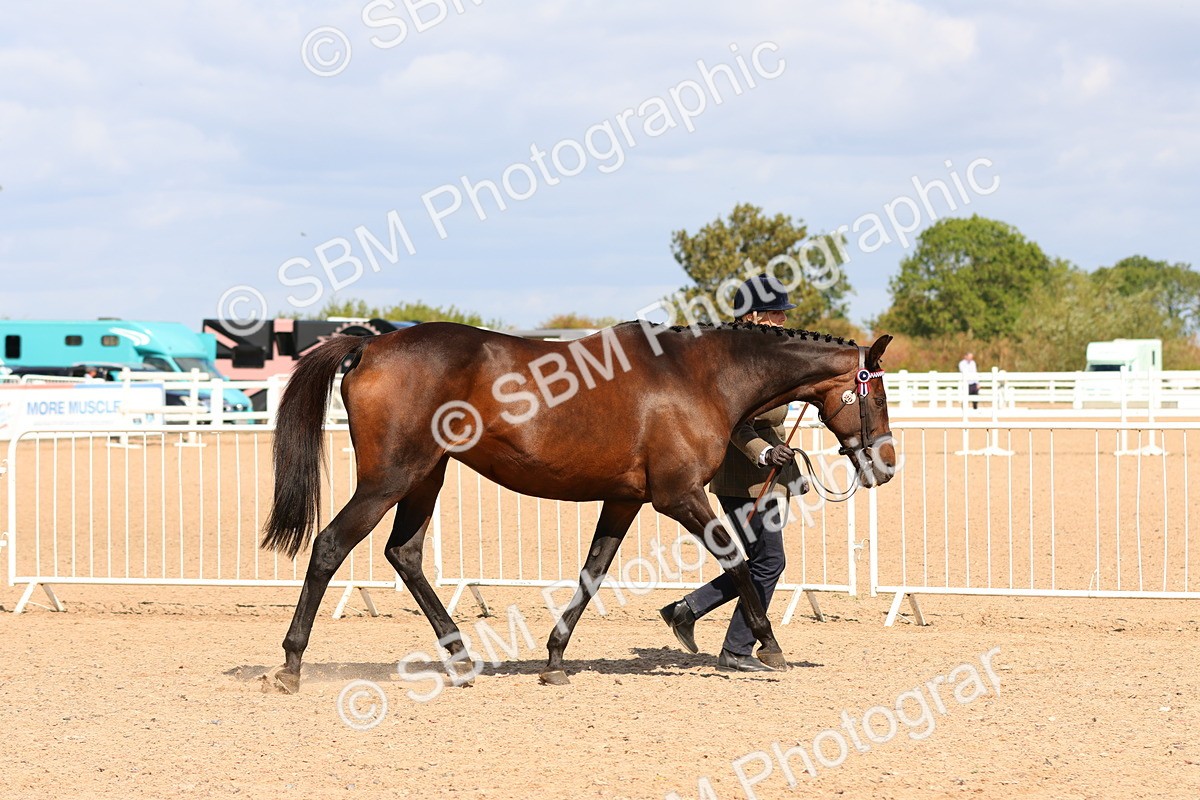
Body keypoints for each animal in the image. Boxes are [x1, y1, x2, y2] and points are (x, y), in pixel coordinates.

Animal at [260, 320, 895, 692]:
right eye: (878, 394)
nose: (885, 467)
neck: (699, 375)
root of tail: (370, 344)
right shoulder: (681, 497)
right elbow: (738, 563)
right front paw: (770, 647)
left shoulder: (623, 500)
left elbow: (593, 573)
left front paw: (555, 660)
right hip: (390, 478)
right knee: (330, 546)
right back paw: (290, 665)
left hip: (425, 477)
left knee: (405, 554)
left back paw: (461, 659)